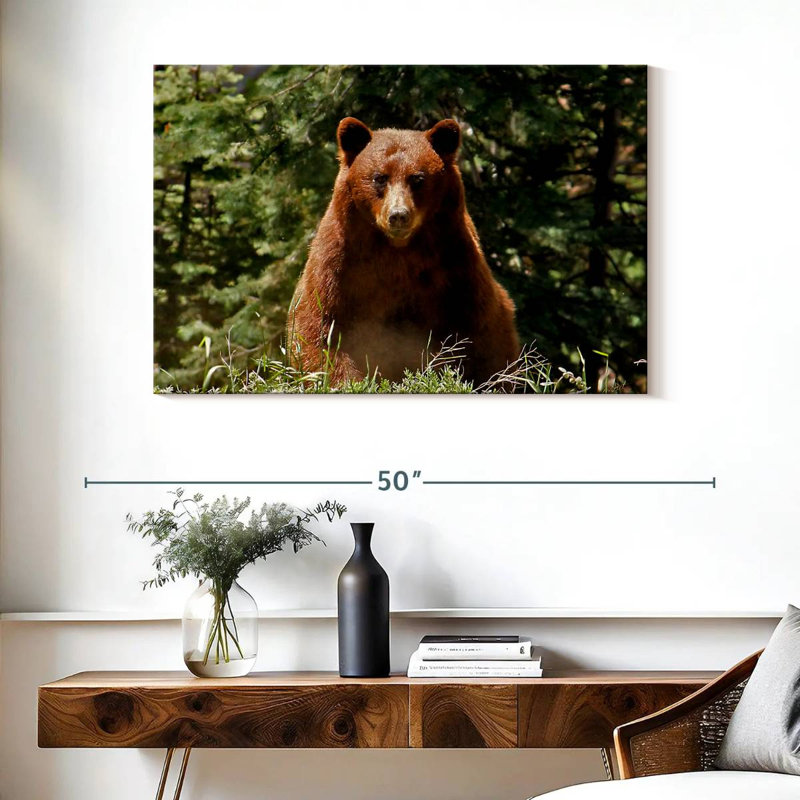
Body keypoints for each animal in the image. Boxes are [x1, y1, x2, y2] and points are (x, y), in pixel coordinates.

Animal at [287, 117, 520, 388]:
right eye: (379, 177)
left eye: (417, 178)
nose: (398, 215)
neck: (398, 250)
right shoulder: (339, 263)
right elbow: (320, 329)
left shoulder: (455, 265)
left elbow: (480, 335)